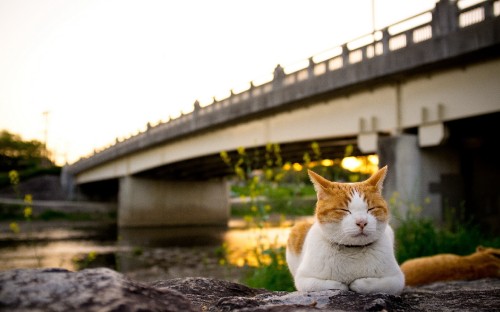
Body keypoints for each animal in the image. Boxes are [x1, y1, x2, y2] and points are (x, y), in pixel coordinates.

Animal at [286, 166, 406, 294]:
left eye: (371, 209)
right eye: (344, 210)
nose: (362, 222)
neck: (352, 250)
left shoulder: (397, 279)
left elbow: (369, 284)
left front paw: (356, 283)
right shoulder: (304, 279)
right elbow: (334, 284)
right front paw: (343, 284)